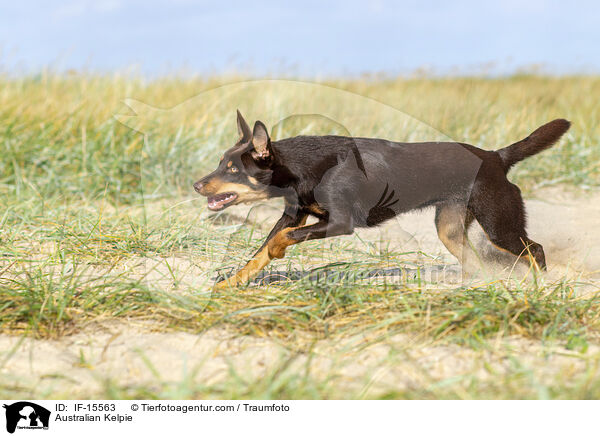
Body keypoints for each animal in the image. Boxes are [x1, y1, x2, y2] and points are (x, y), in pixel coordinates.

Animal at [195, 112, 568, 288]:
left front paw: (277, 252)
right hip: (449, 227)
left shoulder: (340, 223)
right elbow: (259, 252)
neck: (300, 167)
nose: (197, 185)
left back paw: (539, 286)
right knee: (473, 258)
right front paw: (232, 282)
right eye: (221, 163)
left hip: (498, 223)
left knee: (534, 249)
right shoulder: (295, 215)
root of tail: (495, 157)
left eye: (232, 169)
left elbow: (280, 240)